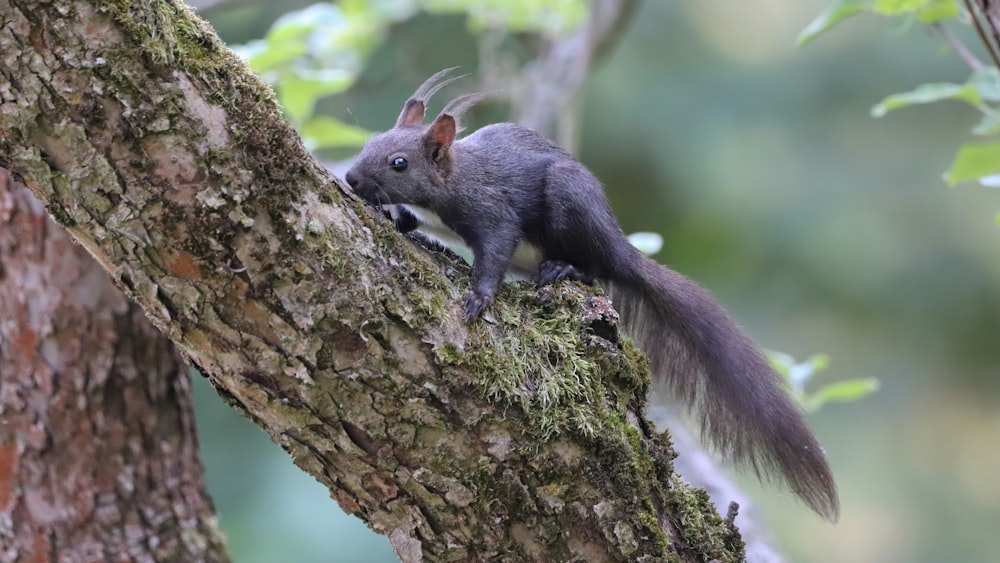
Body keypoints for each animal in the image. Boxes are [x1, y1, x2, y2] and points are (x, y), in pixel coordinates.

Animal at [348, 68, 840, 524]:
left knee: (597, 270)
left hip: (571, 206)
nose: (351, 177)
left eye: (398, 162)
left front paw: (479, 298)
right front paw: (391, 217)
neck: (450, 180)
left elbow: (495, 250)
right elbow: (410, 221)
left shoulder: (490, 210)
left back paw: (565, 268)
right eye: (370, 141)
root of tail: (621, 248)